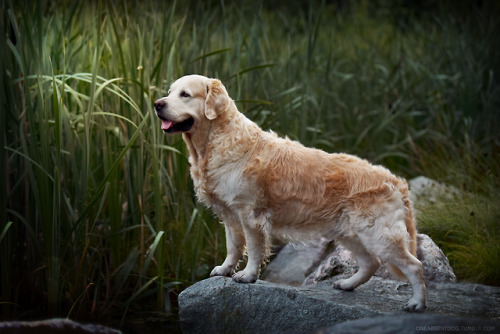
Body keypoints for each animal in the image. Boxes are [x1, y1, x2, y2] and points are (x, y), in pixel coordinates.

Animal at [153, 74, 426, 312]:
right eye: (169, 92)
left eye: (185, 94)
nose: (157, 104)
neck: (215, 142)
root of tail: (395, 180)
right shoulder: (230, 216)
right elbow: (233, 247)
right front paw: (224, 269)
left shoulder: (250, 214)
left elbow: (254, 249)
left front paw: (247, 275)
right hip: (351, 233)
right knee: (372, 263)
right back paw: (347, 284)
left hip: (379, 235)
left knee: (414, 266)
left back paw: (416, 303)